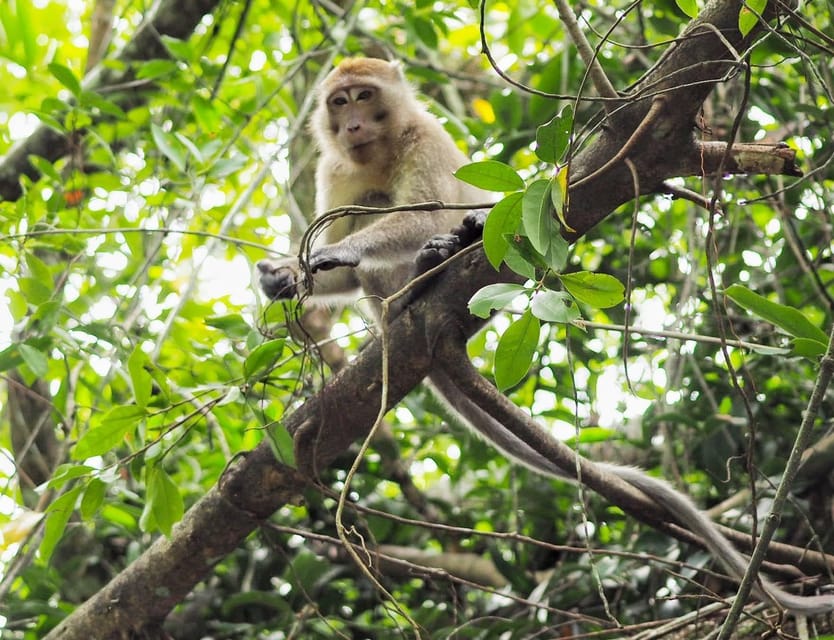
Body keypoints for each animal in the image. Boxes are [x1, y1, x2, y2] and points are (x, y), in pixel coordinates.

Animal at [256, 58, 828, 616]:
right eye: (339, 101)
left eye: (364, 96)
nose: (352, 124)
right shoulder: (335, 168)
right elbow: (342, 267)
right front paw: (287, 276)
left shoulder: (424, 137)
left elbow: (422, 212)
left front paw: (335, 253)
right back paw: (408, 295)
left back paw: (435, 261)